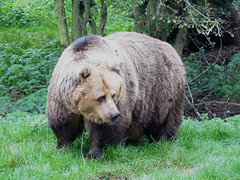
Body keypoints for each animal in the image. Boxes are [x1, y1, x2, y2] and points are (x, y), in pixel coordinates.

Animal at [47, 31, 186, 160]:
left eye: (113, 94)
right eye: (100, 97)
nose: (114, 114)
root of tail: (172, 49)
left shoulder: (122, 97)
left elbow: (105, 130)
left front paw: (94, 153)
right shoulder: (61, 100)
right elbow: (64, 123)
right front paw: (63, 147)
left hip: (163, 88)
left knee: (165, 117)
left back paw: (164, 139)